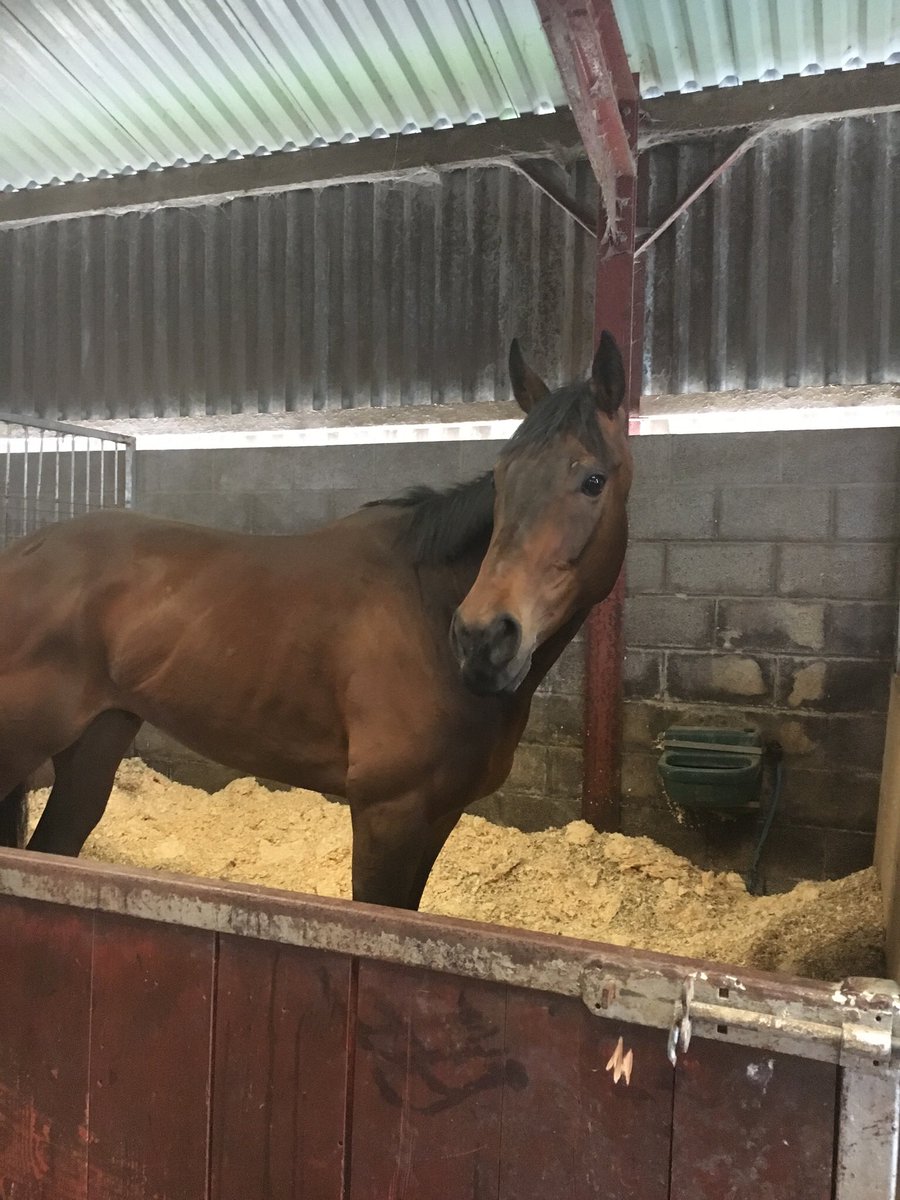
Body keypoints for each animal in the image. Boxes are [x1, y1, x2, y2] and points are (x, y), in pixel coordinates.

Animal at [0, 332, 632, 910]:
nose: (482, 637)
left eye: (593, 480)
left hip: (95, 743)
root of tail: (22, 552)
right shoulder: (388, 815)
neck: (425, 608)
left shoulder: (438, 817)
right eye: (501, 479)